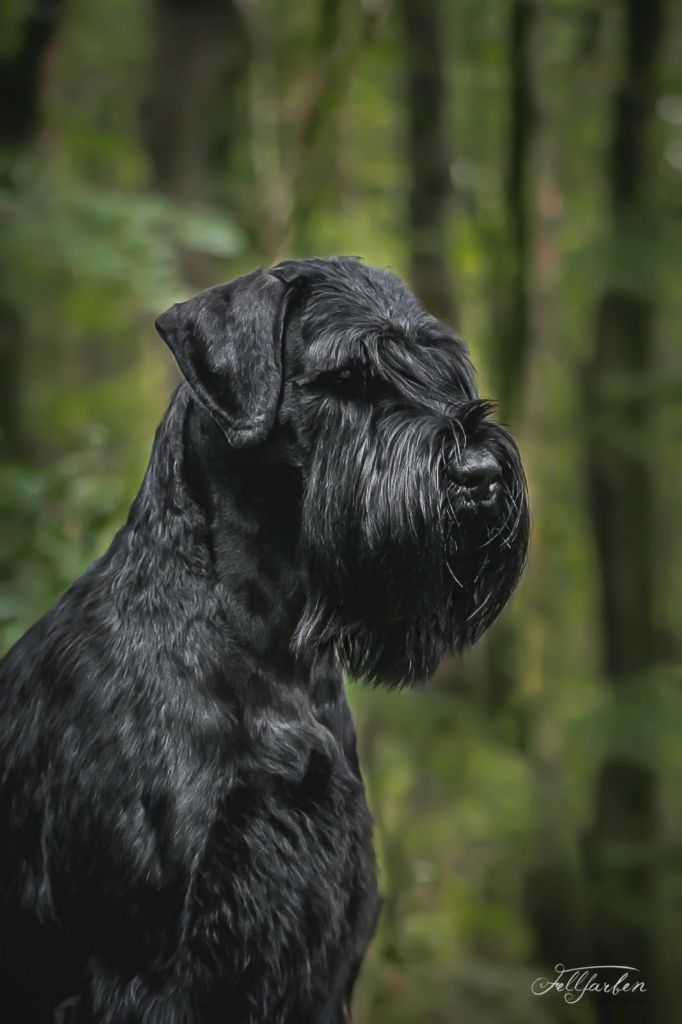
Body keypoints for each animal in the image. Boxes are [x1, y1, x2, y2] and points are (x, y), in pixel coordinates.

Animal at [0, 258, 524, 1024]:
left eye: (440, 368)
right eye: (346, 377)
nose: (480, 475)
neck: (272, 649)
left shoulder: (324, 954)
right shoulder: (143, 967)